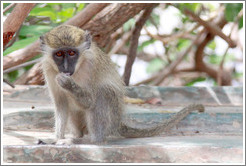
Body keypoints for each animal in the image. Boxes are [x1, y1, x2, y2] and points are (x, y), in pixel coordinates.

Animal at [39, 24, 203, 144]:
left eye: (72, 53)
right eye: (59, 54)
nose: (66, 68)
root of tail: (118, 122)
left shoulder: (92, 65)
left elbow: (90, 101)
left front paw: (67, 84)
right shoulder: (48, 68)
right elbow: (61, 104)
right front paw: (56, 138)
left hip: (112, 115)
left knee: (104, 92)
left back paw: (92, 141)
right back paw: (78, 137)